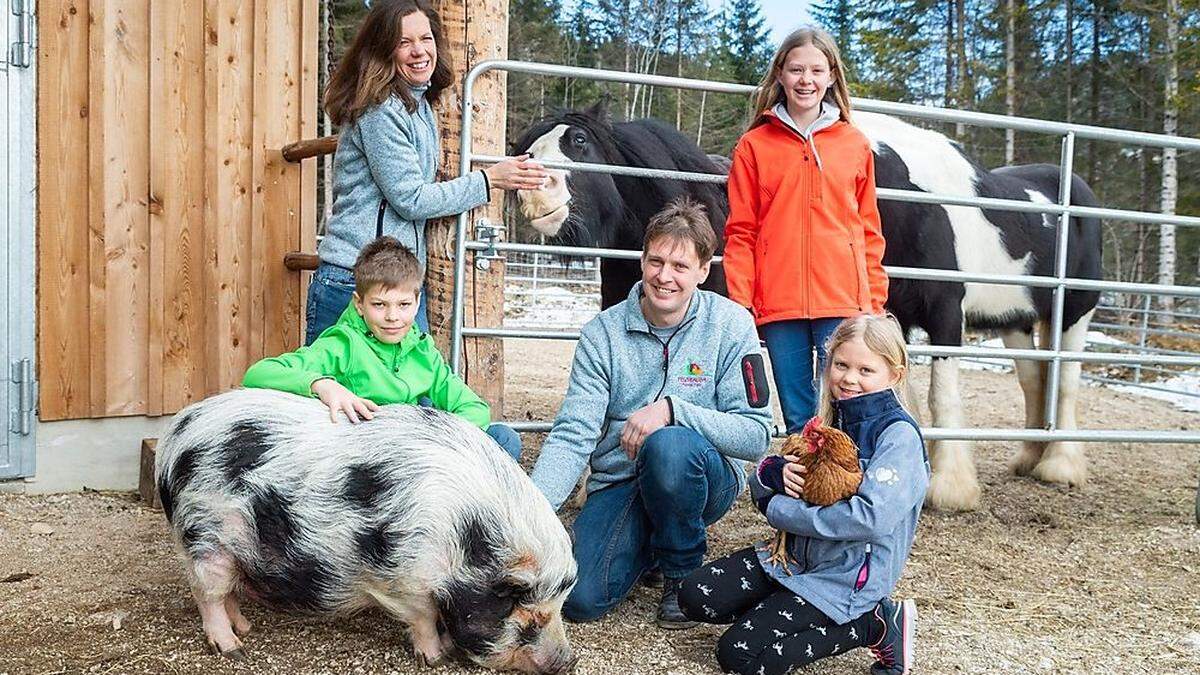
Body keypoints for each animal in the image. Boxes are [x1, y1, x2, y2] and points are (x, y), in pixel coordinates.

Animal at [153, 386, 576, 667]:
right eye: (531, 618)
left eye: (559, 608)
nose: (567, 662)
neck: (466, 538)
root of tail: (173, 437)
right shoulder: (409, 578)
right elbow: (424, 618)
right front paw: (436, 657)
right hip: (206, 537)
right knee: (207, 593)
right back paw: (233, 648)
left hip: (231, 548)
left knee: (229, 591)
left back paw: (246, 629)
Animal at [511, 105, 1099, 506]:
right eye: (525, 147)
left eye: (579, 141)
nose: (535, 195)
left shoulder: (945, 313)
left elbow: (940, 396)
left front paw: (950, 488)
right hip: (1017, 323)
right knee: (1034, 380)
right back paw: (1030, 456)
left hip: (1073, 314)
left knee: (1066, 382)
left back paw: (1061, 466)